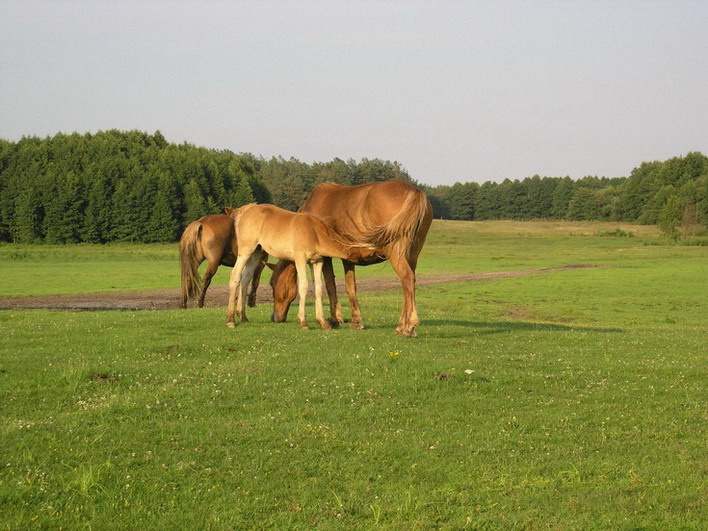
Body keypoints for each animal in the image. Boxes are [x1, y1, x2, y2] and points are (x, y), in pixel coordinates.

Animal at [226, 203, 369, 330]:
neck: (313, 231)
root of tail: (245, 210)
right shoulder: (300, 259)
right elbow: (303, 286)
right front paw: (304, 322)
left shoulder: (317, 262)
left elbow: (318, 288)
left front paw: (323, 322)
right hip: (246, 251)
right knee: (235, 276)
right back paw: (230, 320)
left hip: (257, 253)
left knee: (245, 278)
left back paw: (243, 316)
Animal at [266, 180, 433, 337]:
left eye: (272, 283)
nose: (275, 318)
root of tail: (414, 191)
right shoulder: (348, 259)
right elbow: (350, 286)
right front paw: (356, 321)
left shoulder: (325, 257)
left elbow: (330, 285)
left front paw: (334, 320)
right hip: (413, 254)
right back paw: (401, 325)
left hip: (397, 253)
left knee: (407, 279)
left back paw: (408, 327)